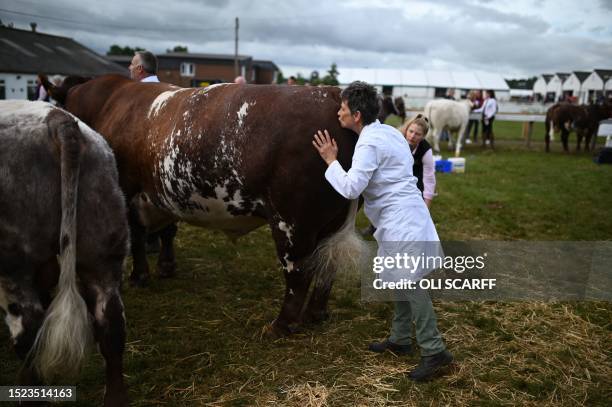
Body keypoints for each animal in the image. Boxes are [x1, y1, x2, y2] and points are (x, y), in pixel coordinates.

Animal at [46, 75, 368, 336]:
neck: (109, 104)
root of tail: (331, 94)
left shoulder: (127, 192)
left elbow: (136, 237)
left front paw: (139, 276)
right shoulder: (163, 195)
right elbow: (165, 232)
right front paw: (165, 267)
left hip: (292, 222)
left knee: (299, 273)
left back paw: (280, 326)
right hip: (330, 222)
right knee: (327, 266)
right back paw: (316, 314)